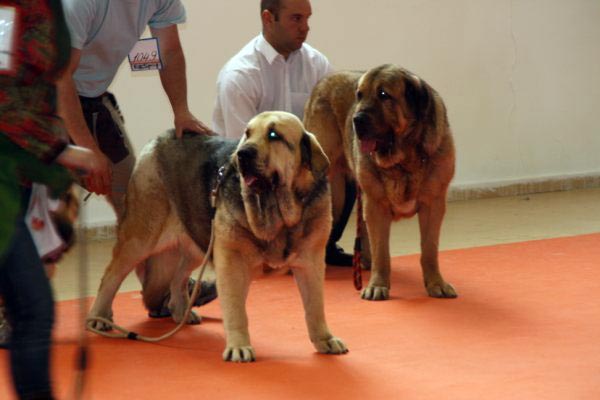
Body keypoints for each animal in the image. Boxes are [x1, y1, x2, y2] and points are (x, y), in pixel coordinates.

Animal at [85, 111, 346, 360]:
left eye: (274, 135)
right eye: (247, 133)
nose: (242, 154)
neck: (277, 213)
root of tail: (160, 139)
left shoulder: (311, 262)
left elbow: (315, 308)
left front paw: (325, 339)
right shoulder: (231, 262)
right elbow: (236, 311)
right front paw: (239, 347)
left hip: (197, 239)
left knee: (178, 279)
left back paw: (180, 312)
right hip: (141, 237)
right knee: (111, 276)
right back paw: (98, 317)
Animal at [302, 63, 458, 300]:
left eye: (384, 95)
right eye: (359, 95)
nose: (356, 119)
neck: (404, 158)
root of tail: (323, 81)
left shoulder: (433, 205)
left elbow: (429, 250)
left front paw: (436, 283)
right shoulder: (377, 205)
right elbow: (382, 252)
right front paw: (378, 285)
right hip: (332, 192)